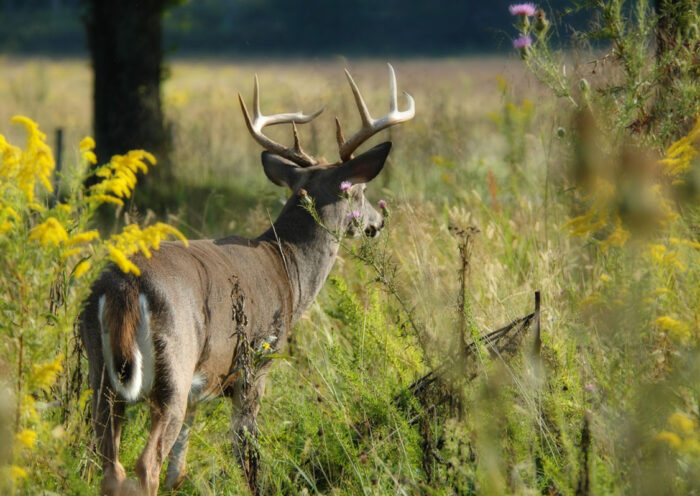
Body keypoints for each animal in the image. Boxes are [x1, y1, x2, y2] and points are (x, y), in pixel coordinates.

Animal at [78, 65, 412, 496]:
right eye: (360, 189)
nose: (377, 221)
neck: (288, 270)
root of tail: (123, 287)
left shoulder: (201, 385)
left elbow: (178, 470)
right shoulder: (257, 362)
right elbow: (248, 455)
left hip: (100, 375)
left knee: (111, 466)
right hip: (174, 364)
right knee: (144, 463)